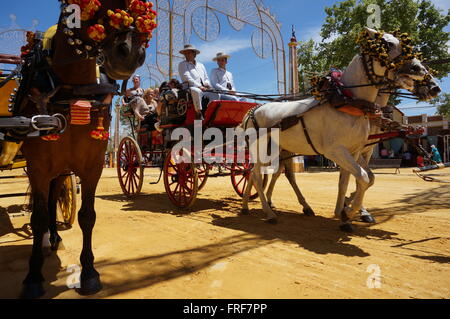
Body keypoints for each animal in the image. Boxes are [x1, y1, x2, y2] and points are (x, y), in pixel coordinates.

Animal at [18, 0, 148, 300]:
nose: (130, 53)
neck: (72, 91)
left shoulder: (93, 165)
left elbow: (87, 217)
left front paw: (89, 273)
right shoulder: (38, 167)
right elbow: (38, 218)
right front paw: (33, 277)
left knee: (54, 199)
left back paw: (55, 237)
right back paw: (48, 240)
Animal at [239, 28, 428, 231]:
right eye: (387, 44)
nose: (420, 69)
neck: (347, 101)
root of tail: (253, 111)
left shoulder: (354, 152)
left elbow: (347, 182)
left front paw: (343, 214)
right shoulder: (335, 151)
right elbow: (363, 178)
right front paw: (349, 211)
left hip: (275, 151)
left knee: (257, 174)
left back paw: (246, 206)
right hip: (261, 150)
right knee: (256, 175)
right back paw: (269, 212)